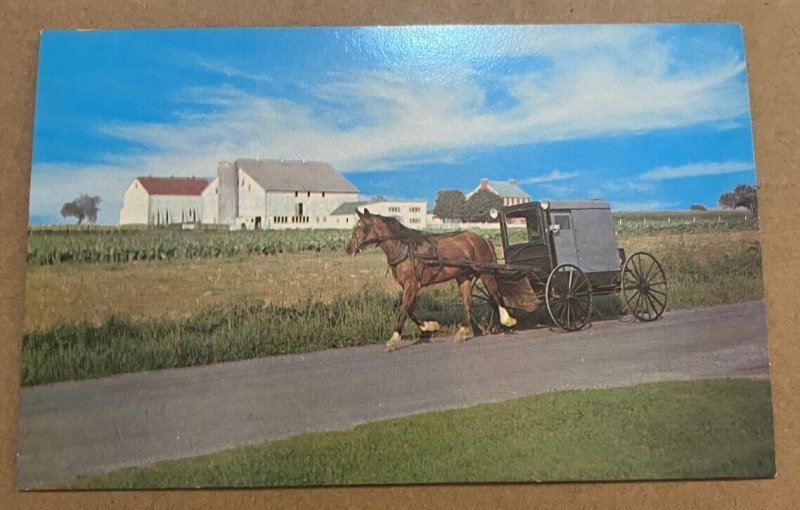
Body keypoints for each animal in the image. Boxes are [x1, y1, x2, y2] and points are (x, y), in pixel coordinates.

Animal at [346, 207, 516, 350]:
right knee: (468, 302)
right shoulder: (409, 286)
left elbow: (403, 310)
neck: (405, 248)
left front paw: (393, 341)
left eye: (363, 227)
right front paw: (430, 326)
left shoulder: (412, 284)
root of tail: (484, 240)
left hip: (486, 273)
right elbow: (410, 310)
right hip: (463, 277)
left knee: (495, 295)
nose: (348, 248)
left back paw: (507, 319)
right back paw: (463, 331)